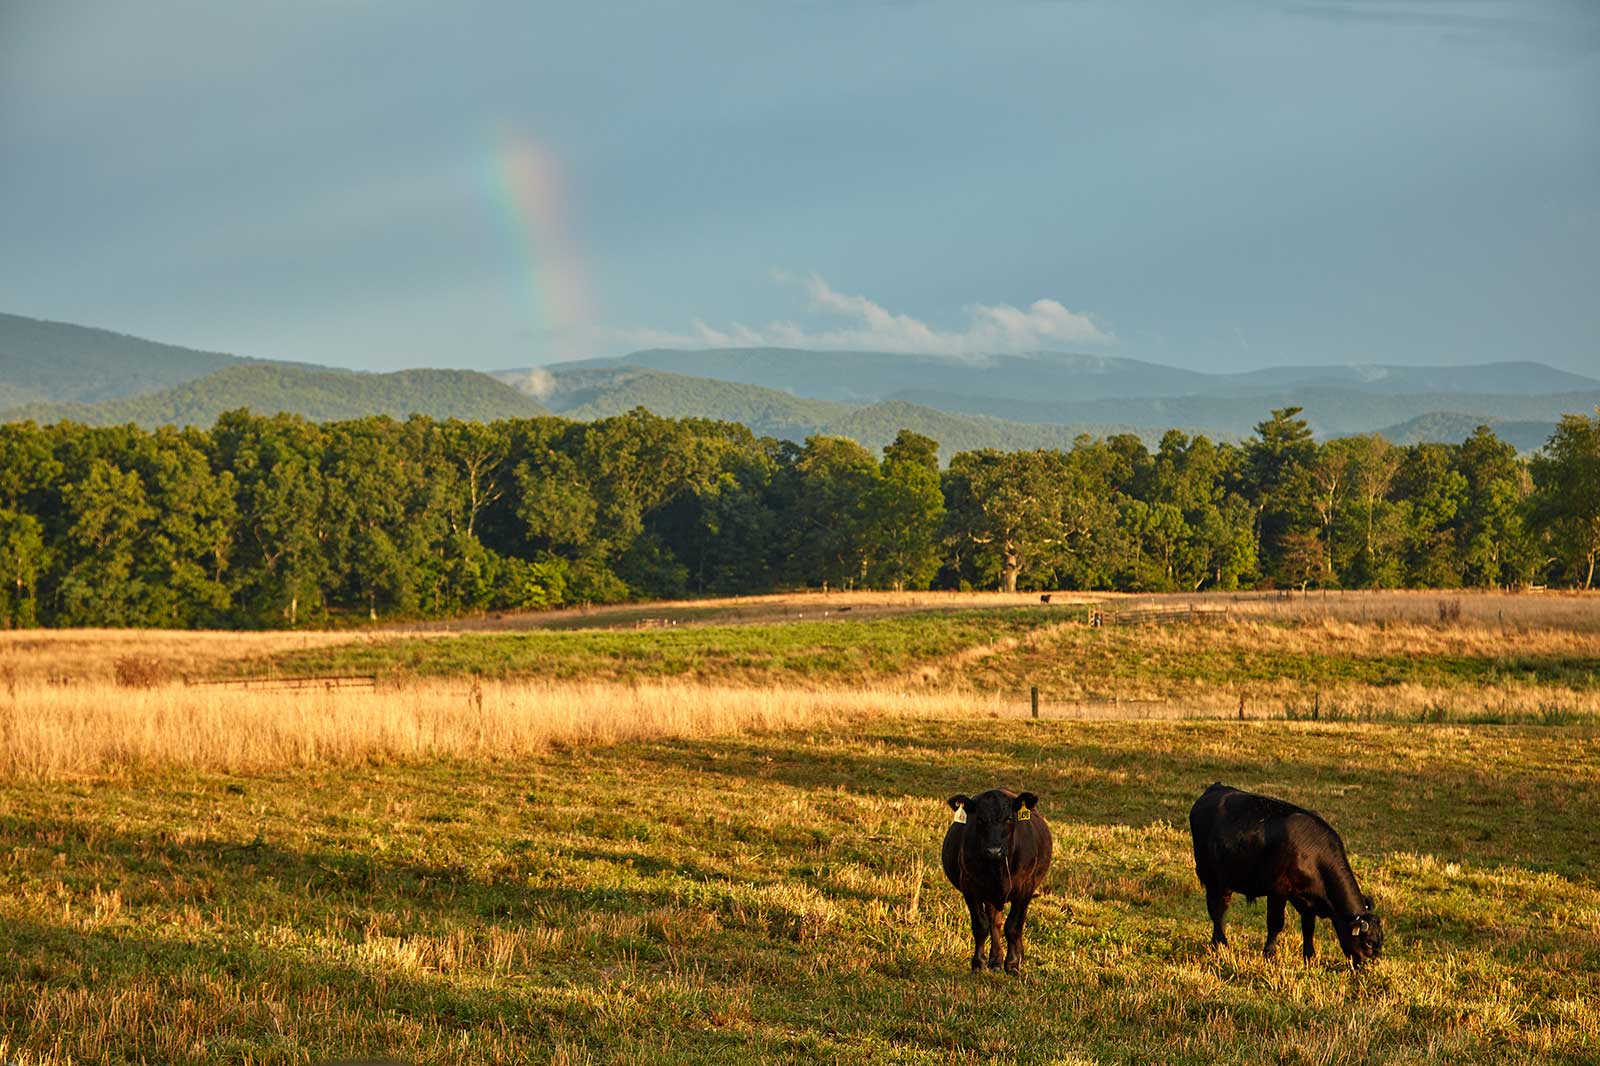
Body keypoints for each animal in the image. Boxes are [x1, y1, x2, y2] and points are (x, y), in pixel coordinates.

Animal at [942, 788, 1052, 973]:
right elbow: (981, 925)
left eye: (1009, 818)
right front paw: (978, 963)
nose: (994, 850)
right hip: (990, 896)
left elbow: (1014, 926)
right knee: (995, 923)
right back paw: (995, 961)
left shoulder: (1025, 888)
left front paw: (1013, 963)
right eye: (980, 819)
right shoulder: (970, 886)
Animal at [1189, 782, 1384, 968]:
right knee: (1217, 910)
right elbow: (1276, 923)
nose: (1372, 966)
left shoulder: (1307, 900)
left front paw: (1309, 957)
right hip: (1212, 878)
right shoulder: (1278, 890)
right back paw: (1220, 944)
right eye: (1368, 943)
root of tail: (1216, 789)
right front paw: (1269, 954)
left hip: (1226, 881)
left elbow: (1308, 927)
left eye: (1380, 942)